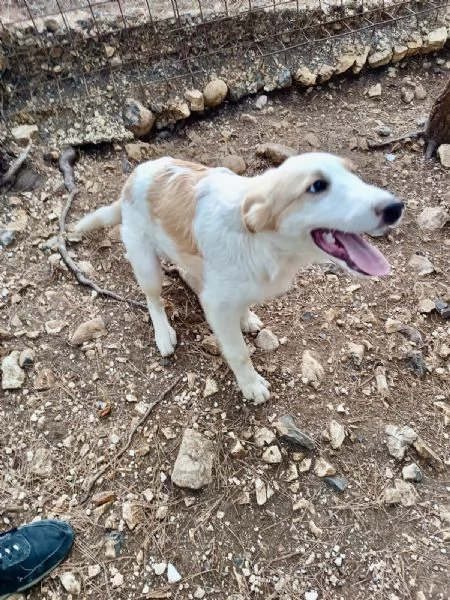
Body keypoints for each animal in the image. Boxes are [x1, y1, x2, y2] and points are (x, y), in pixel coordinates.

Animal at [75, 151, 402, 404]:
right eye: (317, 186)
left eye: (354, 175)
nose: (395, 207)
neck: (262, 241)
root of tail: (134, 176)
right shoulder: (219, 309)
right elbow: (239, 352)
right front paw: (251, 384)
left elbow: (241, 304)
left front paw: (246, 318)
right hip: (145, 262)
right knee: (153, 299)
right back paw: (163, 332)